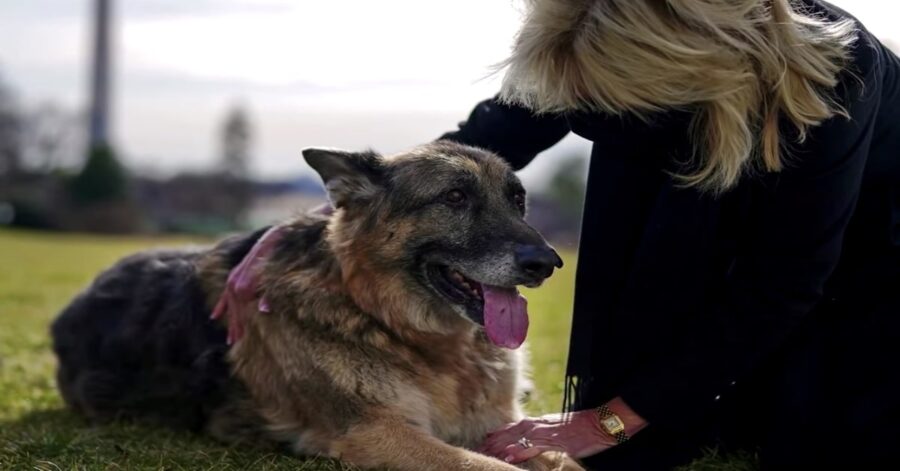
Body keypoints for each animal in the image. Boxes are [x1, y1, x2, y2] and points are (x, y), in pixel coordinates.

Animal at [51, 142, 584, 470]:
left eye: (517, 201)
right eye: (454, 197)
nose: (548, 263)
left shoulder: (502, 425)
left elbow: (560, 457)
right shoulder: (377, 432)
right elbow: (491, 466)